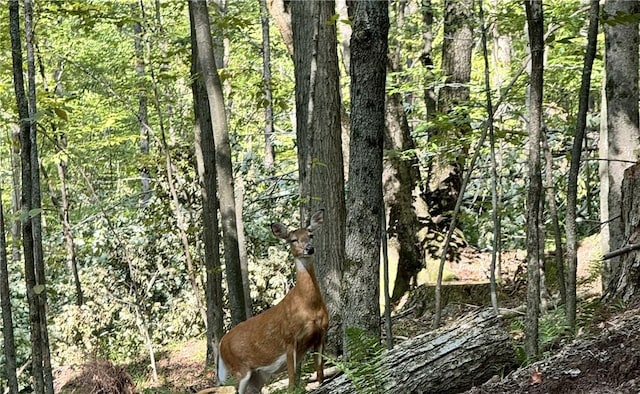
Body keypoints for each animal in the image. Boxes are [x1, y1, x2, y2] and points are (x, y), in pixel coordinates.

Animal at [219, 211, 330, 392]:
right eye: (293, 239)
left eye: (311, 235)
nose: (309, 248)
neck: (309, 306)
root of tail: (221, 344)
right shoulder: (289, 338)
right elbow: (292, 380)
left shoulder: (321, 333)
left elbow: (320, 372)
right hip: (239, 369)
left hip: (256, 375)